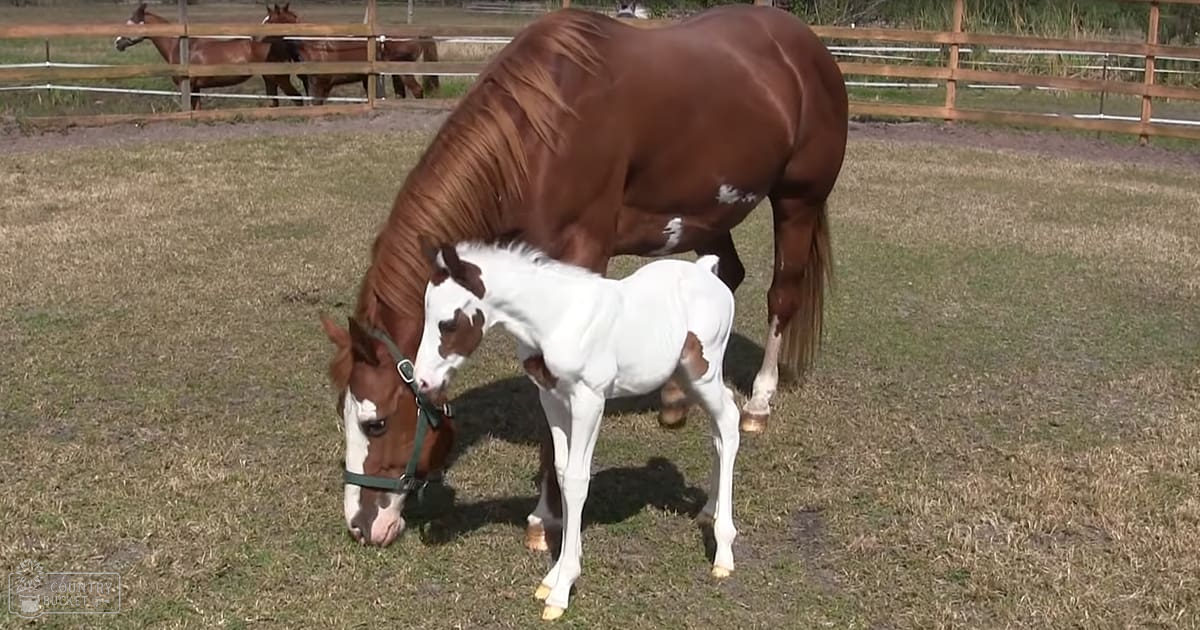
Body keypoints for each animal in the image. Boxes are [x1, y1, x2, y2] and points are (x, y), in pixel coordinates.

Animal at [113, 2, 304, 110]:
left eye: (131, 23)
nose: (118, 43)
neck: (180, 46)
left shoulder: (188, 86)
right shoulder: (196, 88)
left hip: (279, 78)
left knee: (298, 99)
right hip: (270, 79)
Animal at [263, 3, 439, 105]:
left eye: (270, 21)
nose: (258, 38)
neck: (312, 45)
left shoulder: (320, 84)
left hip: (403, 70)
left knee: (417, 90)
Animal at [318, 4, 847, 552]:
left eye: (375, 423)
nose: (360, 525)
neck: (545, 130)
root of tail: (807, 45)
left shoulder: (581, 256)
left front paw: (545, 516)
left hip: (797, 201)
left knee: (781, 296)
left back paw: (760, 402)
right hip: (708, 216)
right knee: (727, 277)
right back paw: (675, 396)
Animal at [409, 240, 739, 619]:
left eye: (447, 323)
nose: (422, 382)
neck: (555, 319)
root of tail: (705, 270)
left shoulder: (588, 400)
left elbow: (578, 481)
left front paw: (561, 589)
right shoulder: (552, 398)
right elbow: (563, 471)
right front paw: (552, 576)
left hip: (704, 371)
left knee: (730, 422)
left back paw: (723, 551)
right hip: (688, 376)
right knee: (717, 431)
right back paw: (708, 511)